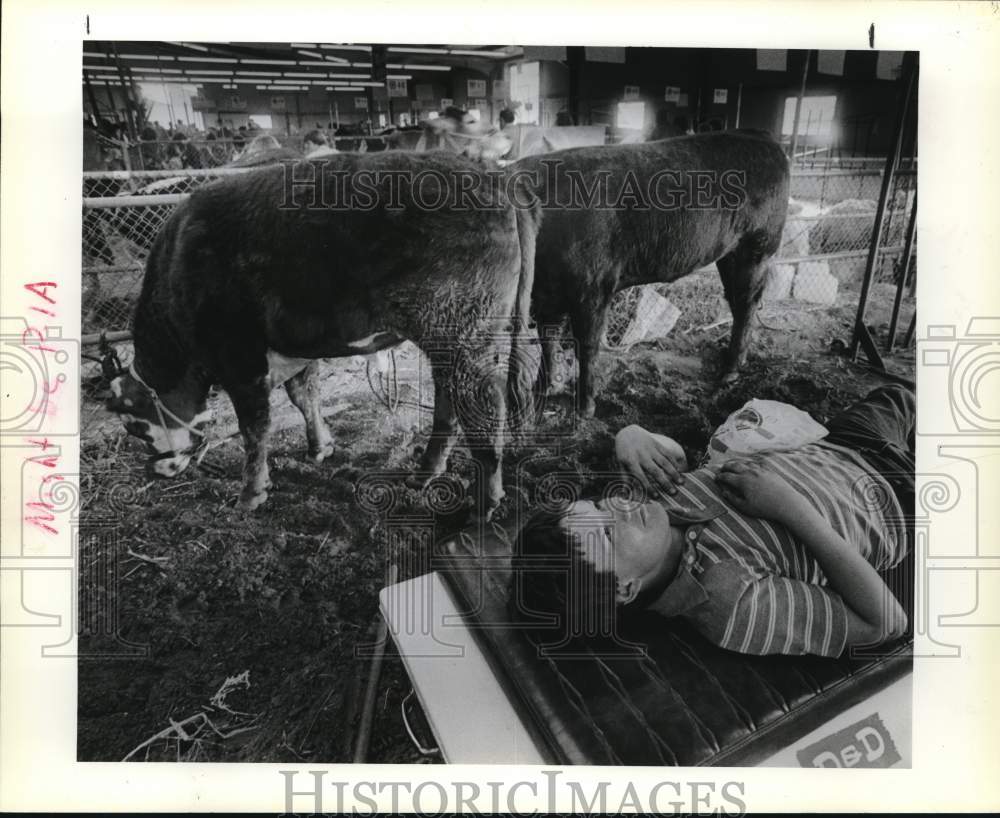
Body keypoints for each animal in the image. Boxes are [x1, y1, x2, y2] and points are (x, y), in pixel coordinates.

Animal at [108, 150, 540, 512]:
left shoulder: (240, 360)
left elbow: (255, 429)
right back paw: (425, 472)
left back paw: (486, 501)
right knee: (449, 403)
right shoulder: (294, 348)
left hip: (465, 337)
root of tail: (494, 175)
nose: (153, 470)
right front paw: (320, 447)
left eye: (136, 427)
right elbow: (305, 396)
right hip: (449, 344)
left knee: (483, 406)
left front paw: (251, 494)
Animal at [516, 133, 788, 418]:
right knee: (737, 300)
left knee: (747, 302)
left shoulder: (593, 287)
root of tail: (766, 142)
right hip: (729, 254)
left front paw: (585, 407)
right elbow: (548, 338)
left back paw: (730, 372)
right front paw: (541, 390)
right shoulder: (548, 294)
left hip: (757, 248)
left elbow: (587, 345)